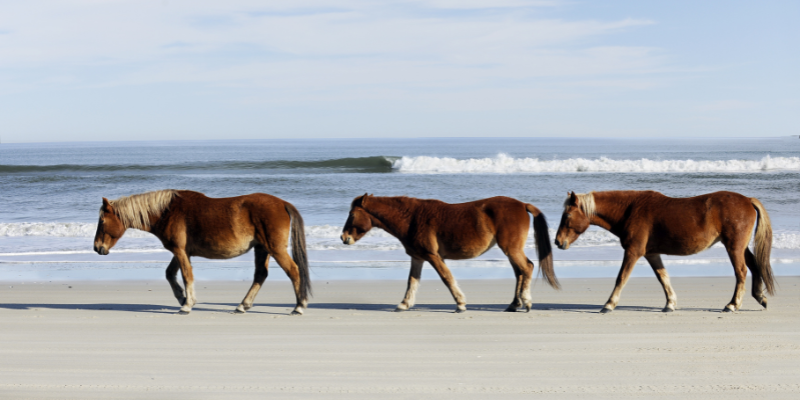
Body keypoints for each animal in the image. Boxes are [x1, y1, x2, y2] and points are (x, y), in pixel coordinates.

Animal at [93, 190, 311, 315]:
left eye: (102, 221)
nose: (96, 247)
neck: (167, 211)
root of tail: (282, 203)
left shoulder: (179, 251)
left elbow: (186, 276)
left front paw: (187, 304)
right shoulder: (181, 252)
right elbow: (170, 274)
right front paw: (182, 297)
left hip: (274, 249)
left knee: (293, 271)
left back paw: (299, 306)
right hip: (262, 248)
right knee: (261, 275)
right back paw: (243, 305)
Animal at [340, 194, 558, 313]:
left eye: (352, 214)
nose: (344, 237)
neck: (411, 218)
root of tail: (522, 205)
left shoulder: (433, 256)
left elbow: (447, 278)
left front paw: (460, 304)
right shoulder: (418, 257)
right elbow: (412, 281)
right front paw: (404, 304)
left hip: (511, 249)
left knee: (526, 268)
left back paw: (526, 301)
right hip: (510, 250)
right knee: (520, 272)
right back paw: (514, 304)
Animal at [554, 190, 774, 313]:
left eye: (567, 216)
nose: (557, 241)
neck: (630, 210)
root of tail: (747, 199)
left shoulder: (633, 252)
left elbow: (621, 278)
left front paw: (609, 304)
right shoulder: (651, 254)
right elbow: (663, 278)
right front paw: (670, 303)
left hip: (734, 246)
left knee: (741, 272)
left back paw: (733, 304)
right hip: (740, 246)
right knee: (753, 266)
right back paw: (759, 297)